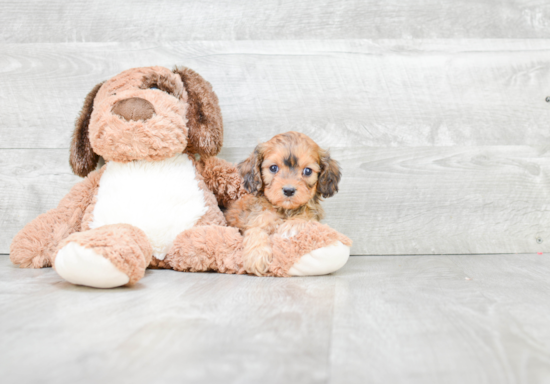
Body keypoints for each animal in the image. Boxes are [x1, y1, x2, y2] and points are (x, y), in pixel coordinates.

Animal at [226, 132, 352, 276]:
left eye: (307, 171)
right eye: (273, 168)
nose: (288, 190)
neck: (285, 210)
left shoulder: (313, 214)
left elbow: (305, 215)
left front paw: (291, 226)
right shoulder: (256, 219)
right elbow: (256, 231)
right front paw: (256, 257)